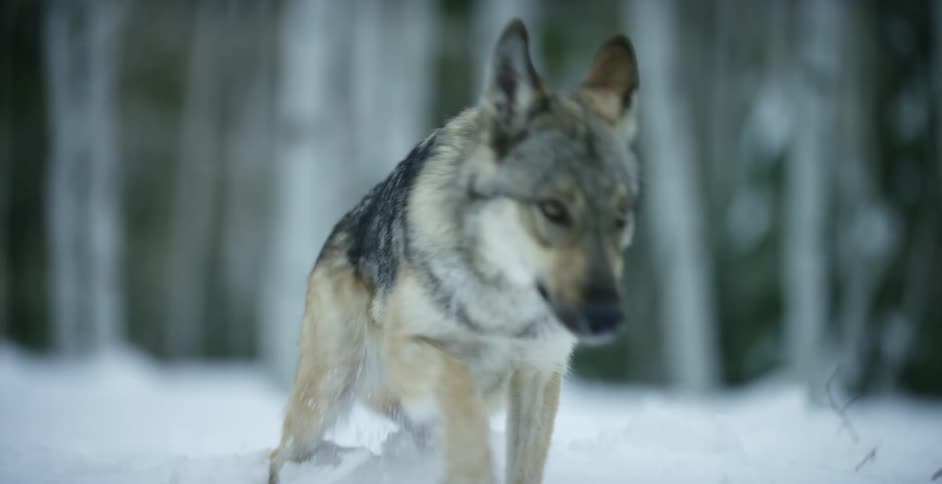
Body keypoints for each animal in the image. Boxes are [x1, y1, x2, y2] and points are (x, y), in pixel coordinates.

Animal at [268, 19, 641, 484]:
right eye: (553, 209)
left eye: (621, 217)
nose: (607, 317)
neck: (504, 306)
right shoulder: (407, 346)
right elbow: (459, 384)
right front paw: (473, 467)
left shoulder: (539, 373)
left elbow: (522, 467)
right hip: (326, 396)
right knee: (278, 455)